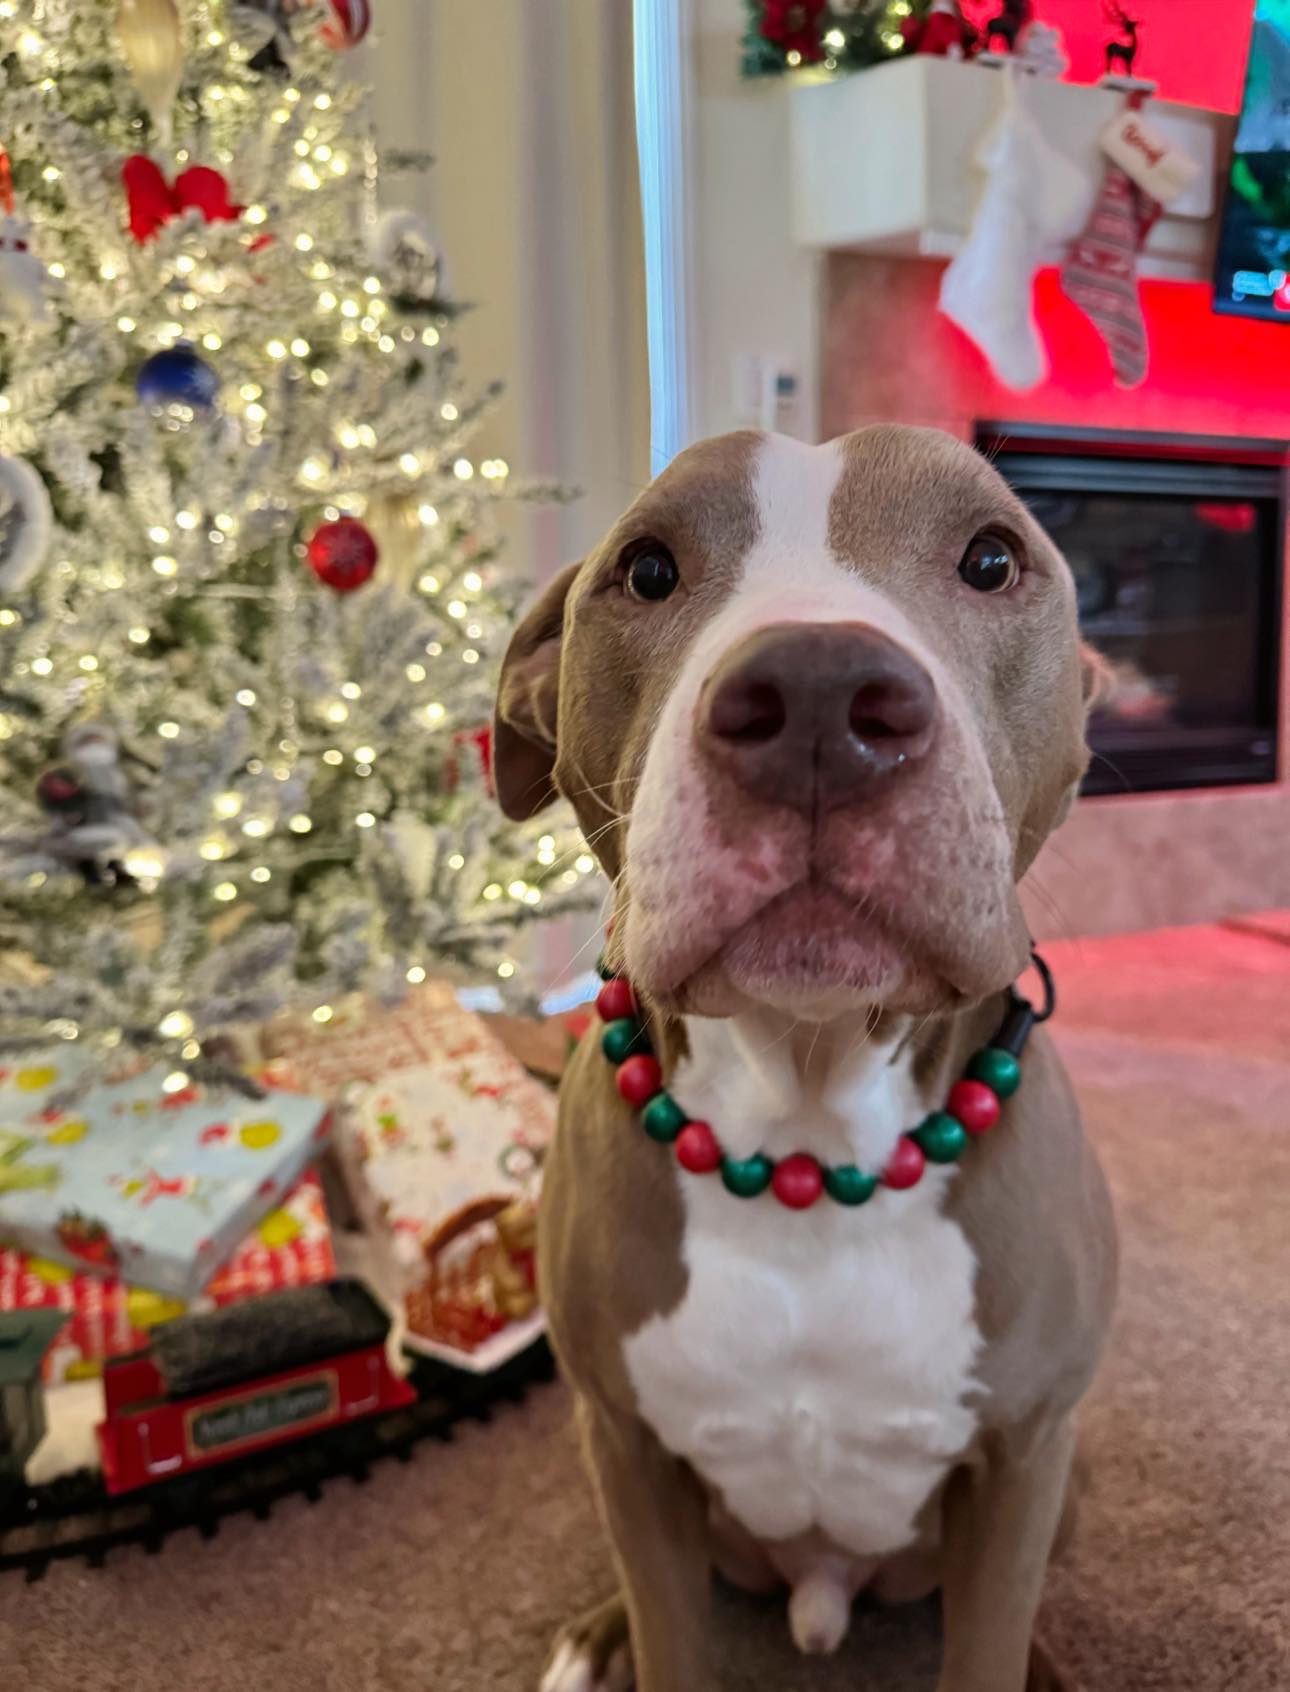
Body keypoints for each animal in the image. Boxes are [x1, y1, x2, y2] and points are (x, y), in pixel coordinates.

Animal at [490, 426, 1117, 1692]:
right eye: (647, 570)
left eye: (991, 558)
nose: (822, 696)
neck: (812, 1132)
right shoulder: (627, 1445)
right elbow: (672, 1638)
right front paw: (627, 1635)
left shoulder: (1026, 1456)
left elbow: (987, 1641)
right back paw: (596, 1636)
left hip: (1062, 1486)